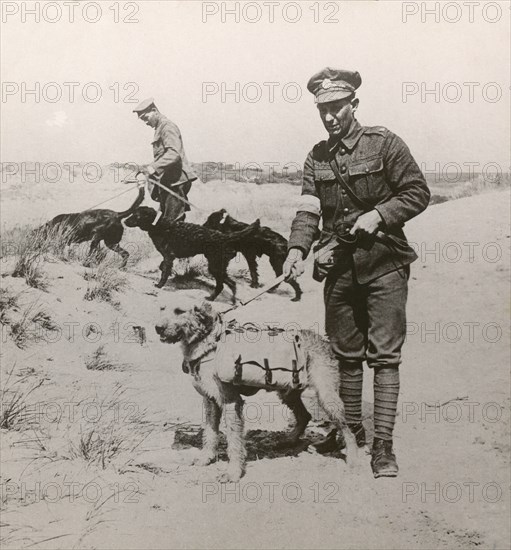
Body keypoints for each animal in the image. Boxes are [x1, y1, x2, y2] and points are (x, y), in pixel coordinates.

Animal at [123, 206, 260, 302]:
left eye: (136, 215)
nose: (124, 221)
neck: (159, 224)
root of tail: (224, 237)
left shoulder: (168, 255)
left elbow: (164, 272)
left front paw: (160, 284)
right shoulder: (169, 256)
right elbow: (163, 267)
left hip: (215, 266)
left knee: (223, 285)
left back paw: (213, 298)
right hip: (218, 267)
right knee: (230, 284)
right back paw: (228, 299)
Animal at [156, 302, 356, 484]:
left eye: (179, 311)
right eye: (162, 308)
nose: (158, 328)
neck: (211, 342)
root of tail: (323, 341)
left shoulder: (231, 401)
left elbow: (234, 441)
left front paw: (233, 473)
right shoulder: (211, 400)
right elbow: (210, 433)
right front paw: (206, 457)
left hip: (327, 396)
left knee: (347, 428)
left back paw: (354, 459)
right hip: (288, 392)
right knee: (304, 415)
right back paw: (289, 440)